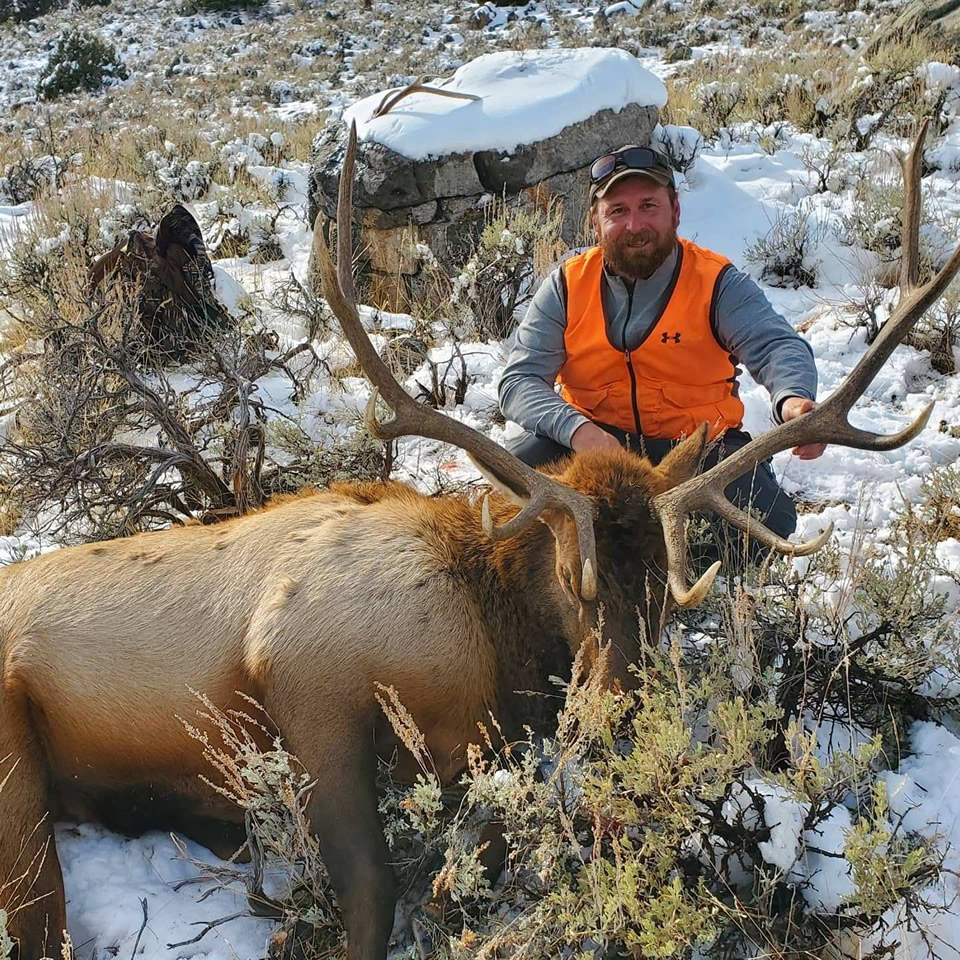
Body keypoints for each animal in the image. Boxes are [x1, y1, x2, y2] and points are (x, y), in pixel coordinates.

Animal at [1, 118, 957, 960]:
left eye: (672, 586)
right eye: (573, 578)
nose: (617, 712)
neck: (491, 640)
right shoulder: (302, 674)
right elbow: (377, 892)